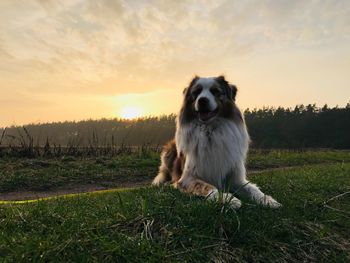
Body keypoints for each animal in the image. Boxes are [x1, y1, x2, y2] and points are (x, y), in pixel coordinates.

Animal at [153, 75, 282, 209]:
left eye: (215, 91)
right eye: (196, 92)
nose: (202, 100)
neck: (210, 131)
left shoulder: (236, 178)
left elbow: (252, 189)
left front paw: (267, 200)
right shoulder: (188, 178)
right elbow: (209, 186)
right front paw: (227, 199)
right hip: (168, 153)